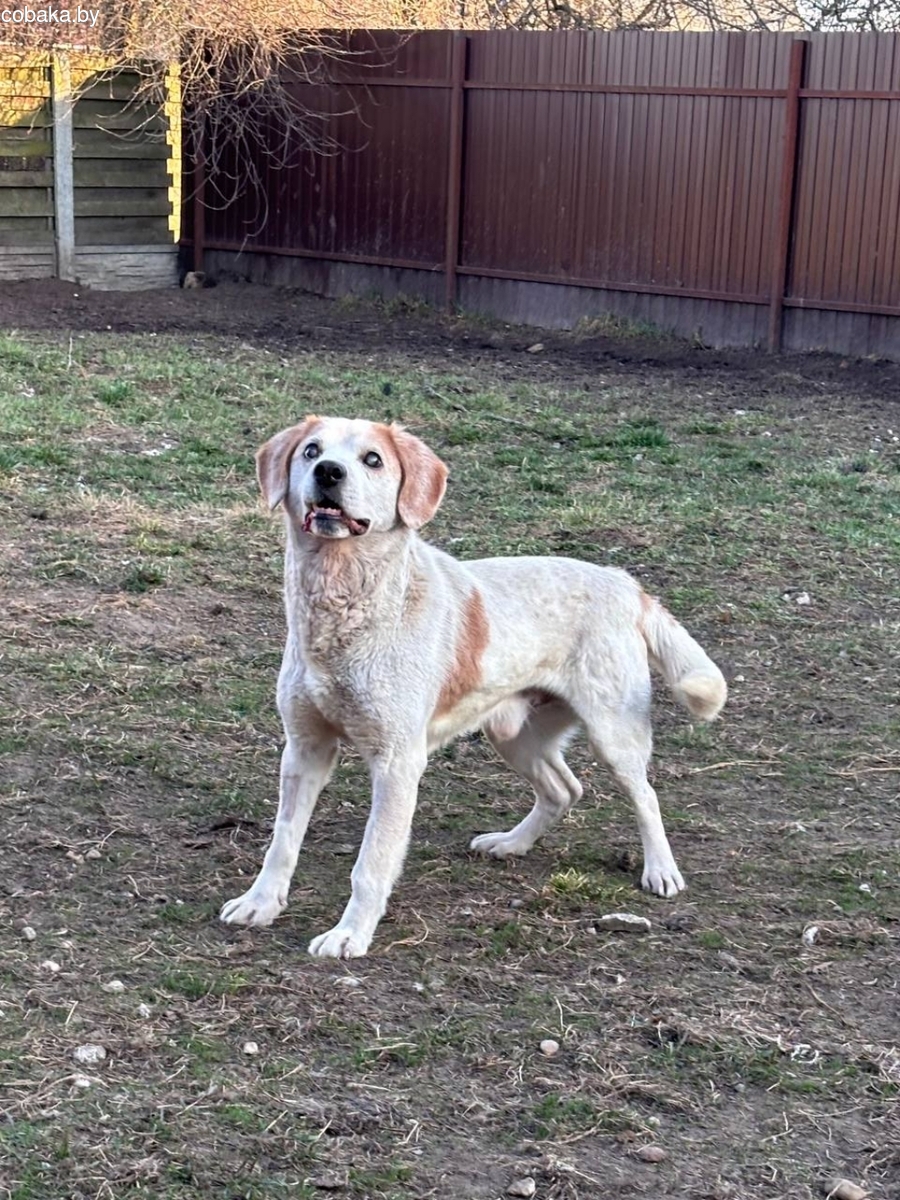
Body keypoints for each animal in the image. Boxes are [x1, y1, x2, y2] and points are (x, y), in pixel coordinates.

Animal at [220, 416, 727, 958]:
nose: (329, 472)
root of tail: (623, 581)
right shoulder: (304, 748)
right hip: (513, 734)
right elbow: (281, 842)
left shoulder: (397, 762)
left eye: (373, 459)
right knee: (564, 789)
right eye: (311, 451)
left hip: (615, 734)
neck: (342, 603)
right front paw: (260, 904)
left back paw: (661, 871)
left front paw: (350, 934)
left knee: (645, 796)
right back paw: (511, 844)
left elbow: (371, 863)